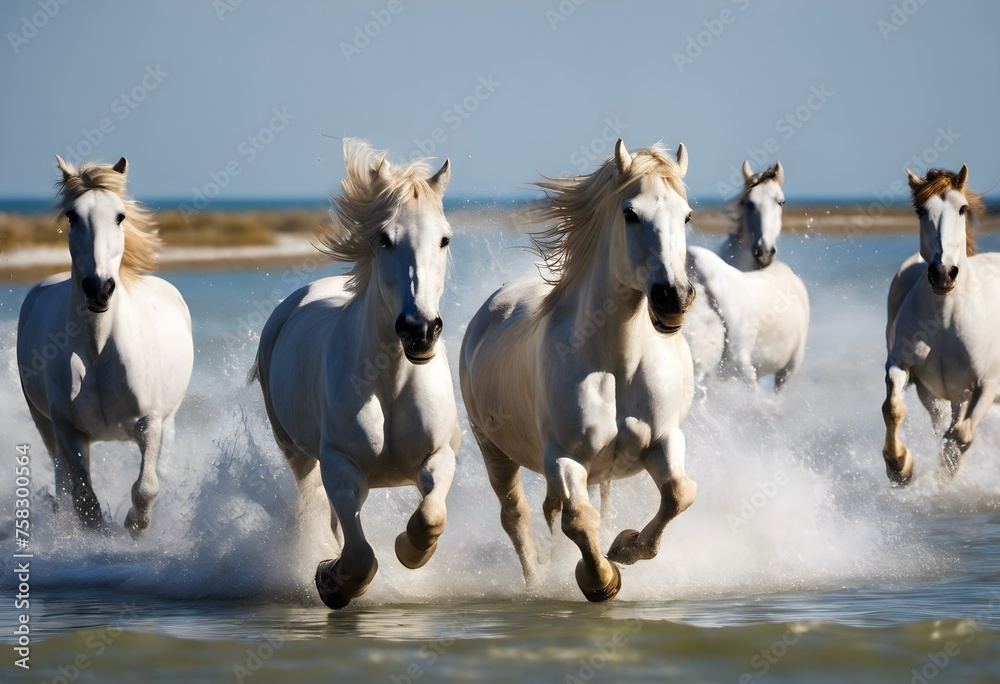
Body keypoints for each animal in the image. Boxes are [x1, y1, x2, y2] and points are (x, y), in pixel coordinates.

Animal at [16, 155, 193, 536]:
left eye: (120, 216)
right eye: (71, 216)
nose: (99, 288)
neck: (98, 352)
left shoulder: (149, 422)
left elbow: (146, 487)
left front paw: (135, 526)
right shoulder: (68, 431)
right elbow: (86, 503)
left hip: (168, 422)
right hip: (43, 423)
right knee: (60, 481)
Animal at [256, 139, 462, 608]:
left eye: (444, 239)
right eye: (384, 239)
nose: (420, 330)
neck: (389, 384)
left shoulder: (439, 456)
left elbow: (430, 516)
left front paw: (409, 549)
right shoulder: (340, 467)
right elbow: (360, 555)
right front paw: (330, 581)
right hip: (297, 454)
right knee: (318, 511)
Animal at [460, 142, 696, 600]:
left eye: (688, 215)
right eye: (630, 213)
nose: (673, 298)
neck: (616, 364)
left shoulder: (664, 440)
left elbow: (678, 494)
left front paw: (626, 546)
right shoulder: (566, 458)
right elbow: (579, 521)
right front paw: (601, 579)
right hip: (494, 449)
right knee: (517, 517)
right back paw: (535, 582)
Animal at [884, 166, 1000, 486]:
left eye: (962, 208)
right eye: (921, 210)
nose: (943, 273)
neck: (947, 319)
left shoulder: (985, 384)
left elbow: (960, 434)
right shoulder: (902, 367)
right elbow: (893, 408)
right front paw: (899, 466)